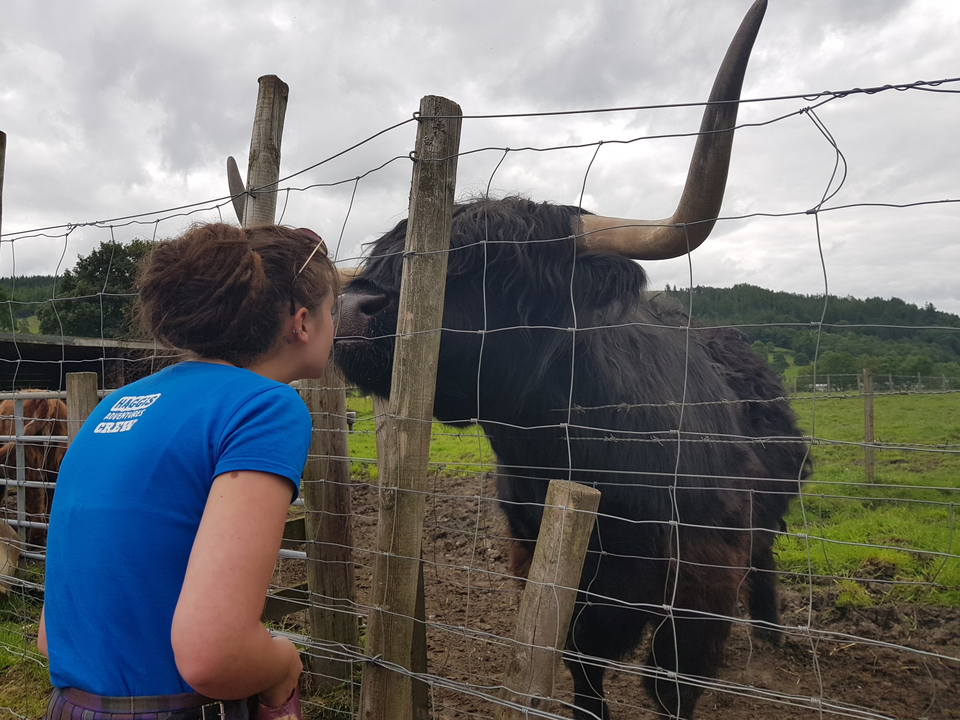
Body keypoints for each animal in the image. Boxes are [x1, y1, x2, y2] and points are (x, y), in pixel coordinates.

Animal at [333, 1, 810, 718]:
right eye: (388, 250)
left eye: (498, 271)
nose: (352, 306)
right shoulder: (542, 558)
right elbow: (583, 667)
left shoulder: (703, 577)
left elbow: (672, 684)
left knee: (765, 560)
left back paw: (773, 636)